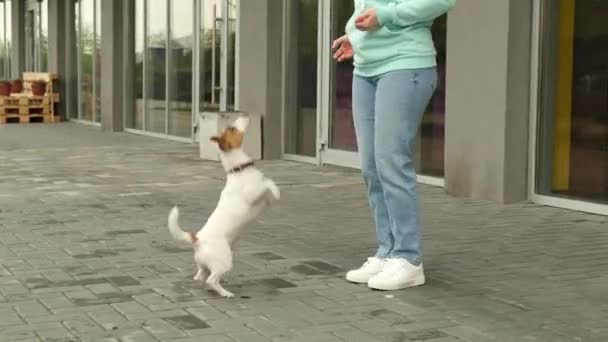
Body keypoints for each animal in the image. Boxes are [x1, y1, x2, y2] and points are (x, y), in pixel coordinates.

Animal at [167, 117, 280, 296]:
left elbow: (268, 189)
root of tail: (197, 239)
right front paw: (277, 191)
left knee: (200, 275)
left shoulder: (263, 199)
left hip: (204, 265)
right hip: (224, 261)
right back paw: (225, 293)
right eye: (232, 129)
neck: (239, 170)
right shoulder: (253, 193)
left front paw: (275, 194)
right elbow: (268, 183)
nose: (245, 115)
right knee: (211, 280)